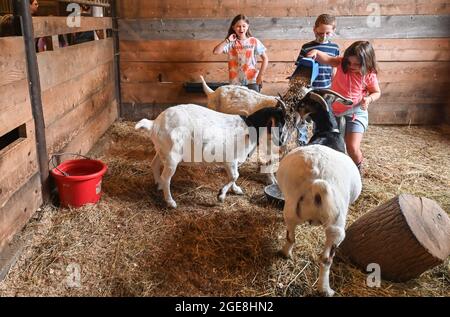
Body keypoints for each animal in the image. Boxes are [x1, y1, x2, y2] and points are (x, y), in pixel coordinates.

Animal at [135, 103, 286, 207]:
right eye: (281, 122)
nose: (281, 141)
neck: (249, 127)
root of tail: (154, 123)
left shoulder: (231, 162)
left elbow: (233, 176)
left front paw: (236, 190)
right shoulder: (230, 159)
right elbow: (235, 176)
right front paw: (221, 195)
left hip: (162, 151)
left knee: (154, 164)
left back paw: (158, 185)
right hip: (172, 157)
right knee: (166, 177)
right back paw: (170, 201)